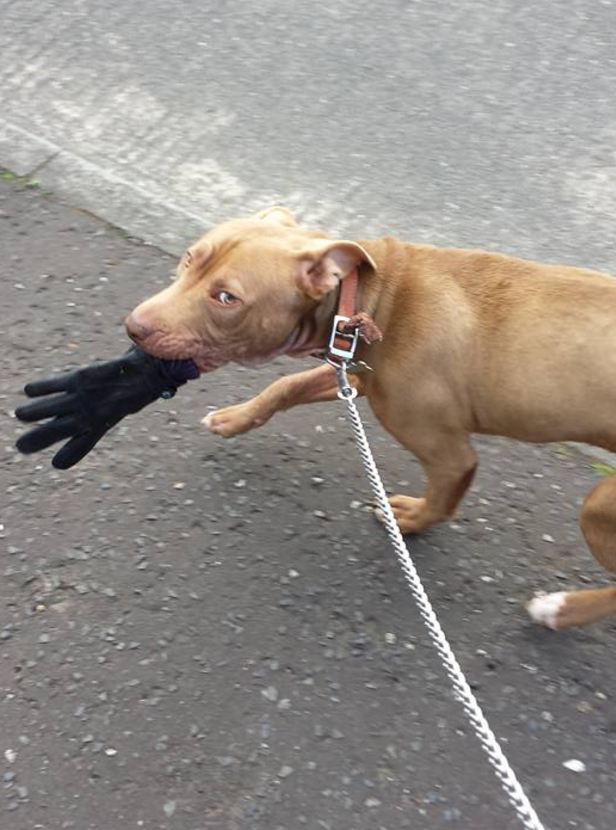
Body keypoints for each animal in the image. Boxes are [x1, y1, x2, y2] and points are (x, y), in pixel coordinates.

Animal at [125, 206, 616, 632]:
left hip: (598, 506)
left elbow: (442, 500)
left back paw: (560, 610)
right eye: (190, 258)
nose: (133, 326)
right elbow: (285, 387)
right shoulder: (354, 372)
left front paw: (409, 522)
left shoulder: (449, 453)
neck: (368, 299)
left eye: (227, 298)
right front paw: (234, 418)